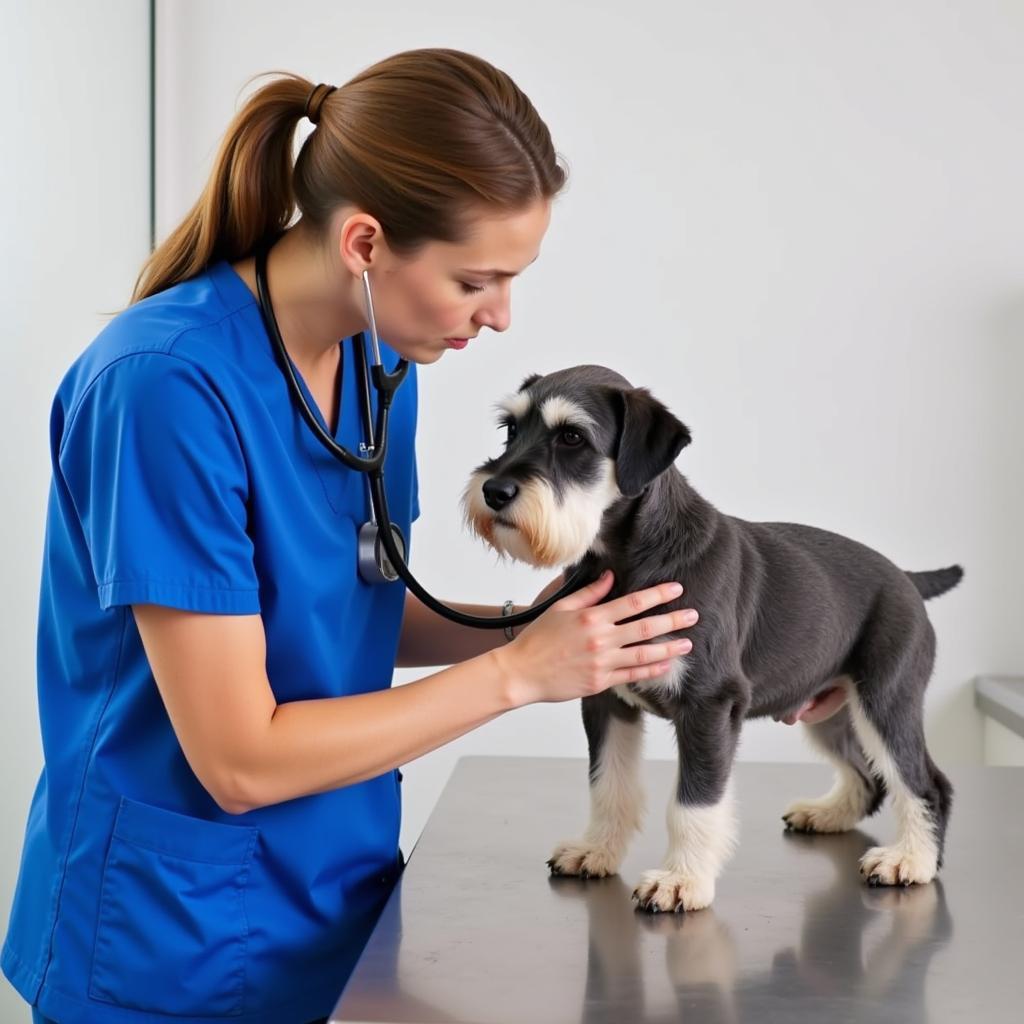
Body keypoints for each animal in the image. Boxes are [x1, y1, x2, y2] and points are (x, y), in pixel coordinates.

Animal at [464, 366, 958, 913]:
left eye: (572, 437)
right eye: (510, 429)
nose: (494, 490)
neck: (625, 560)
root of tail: (907, 579)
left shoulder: (708, 706)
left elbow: (693, 802)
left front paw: (682, 880)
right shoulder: (606, 701)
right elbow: (608, 784)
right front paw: (597, 850)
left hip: (884, 702)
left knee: (924, 783)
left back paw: (909, 861)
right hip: (832, 711)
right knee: (868, 777)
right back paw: (828, 814)